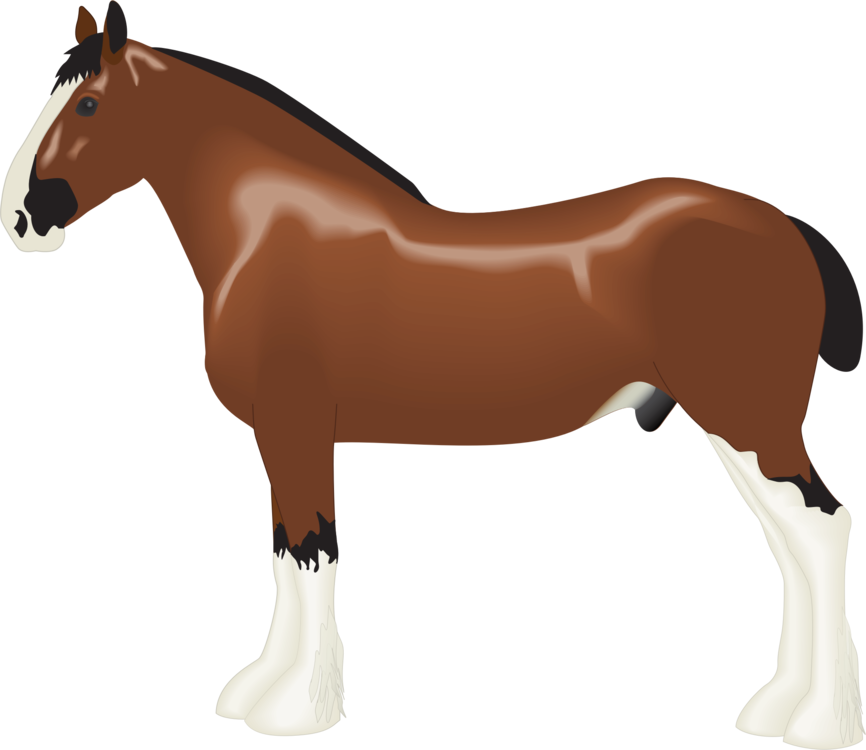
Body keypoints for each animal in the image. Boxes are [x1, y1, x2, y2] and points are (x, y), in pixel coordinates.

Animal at [1, 2, 863, 744]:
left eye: (88, 106)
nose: (20, 219)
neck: (270, 231)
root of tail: (788, 228)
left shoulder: (297, 426)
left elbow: (313, 552)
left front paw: (299, 709)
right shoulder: (277, 438)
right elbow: (283, 553)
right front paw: (259, 690)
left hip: (747, 421)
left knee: (822, 531)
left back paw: (821, 724)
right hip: (738, 429)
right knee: (788, 541)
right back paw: (776, 707)